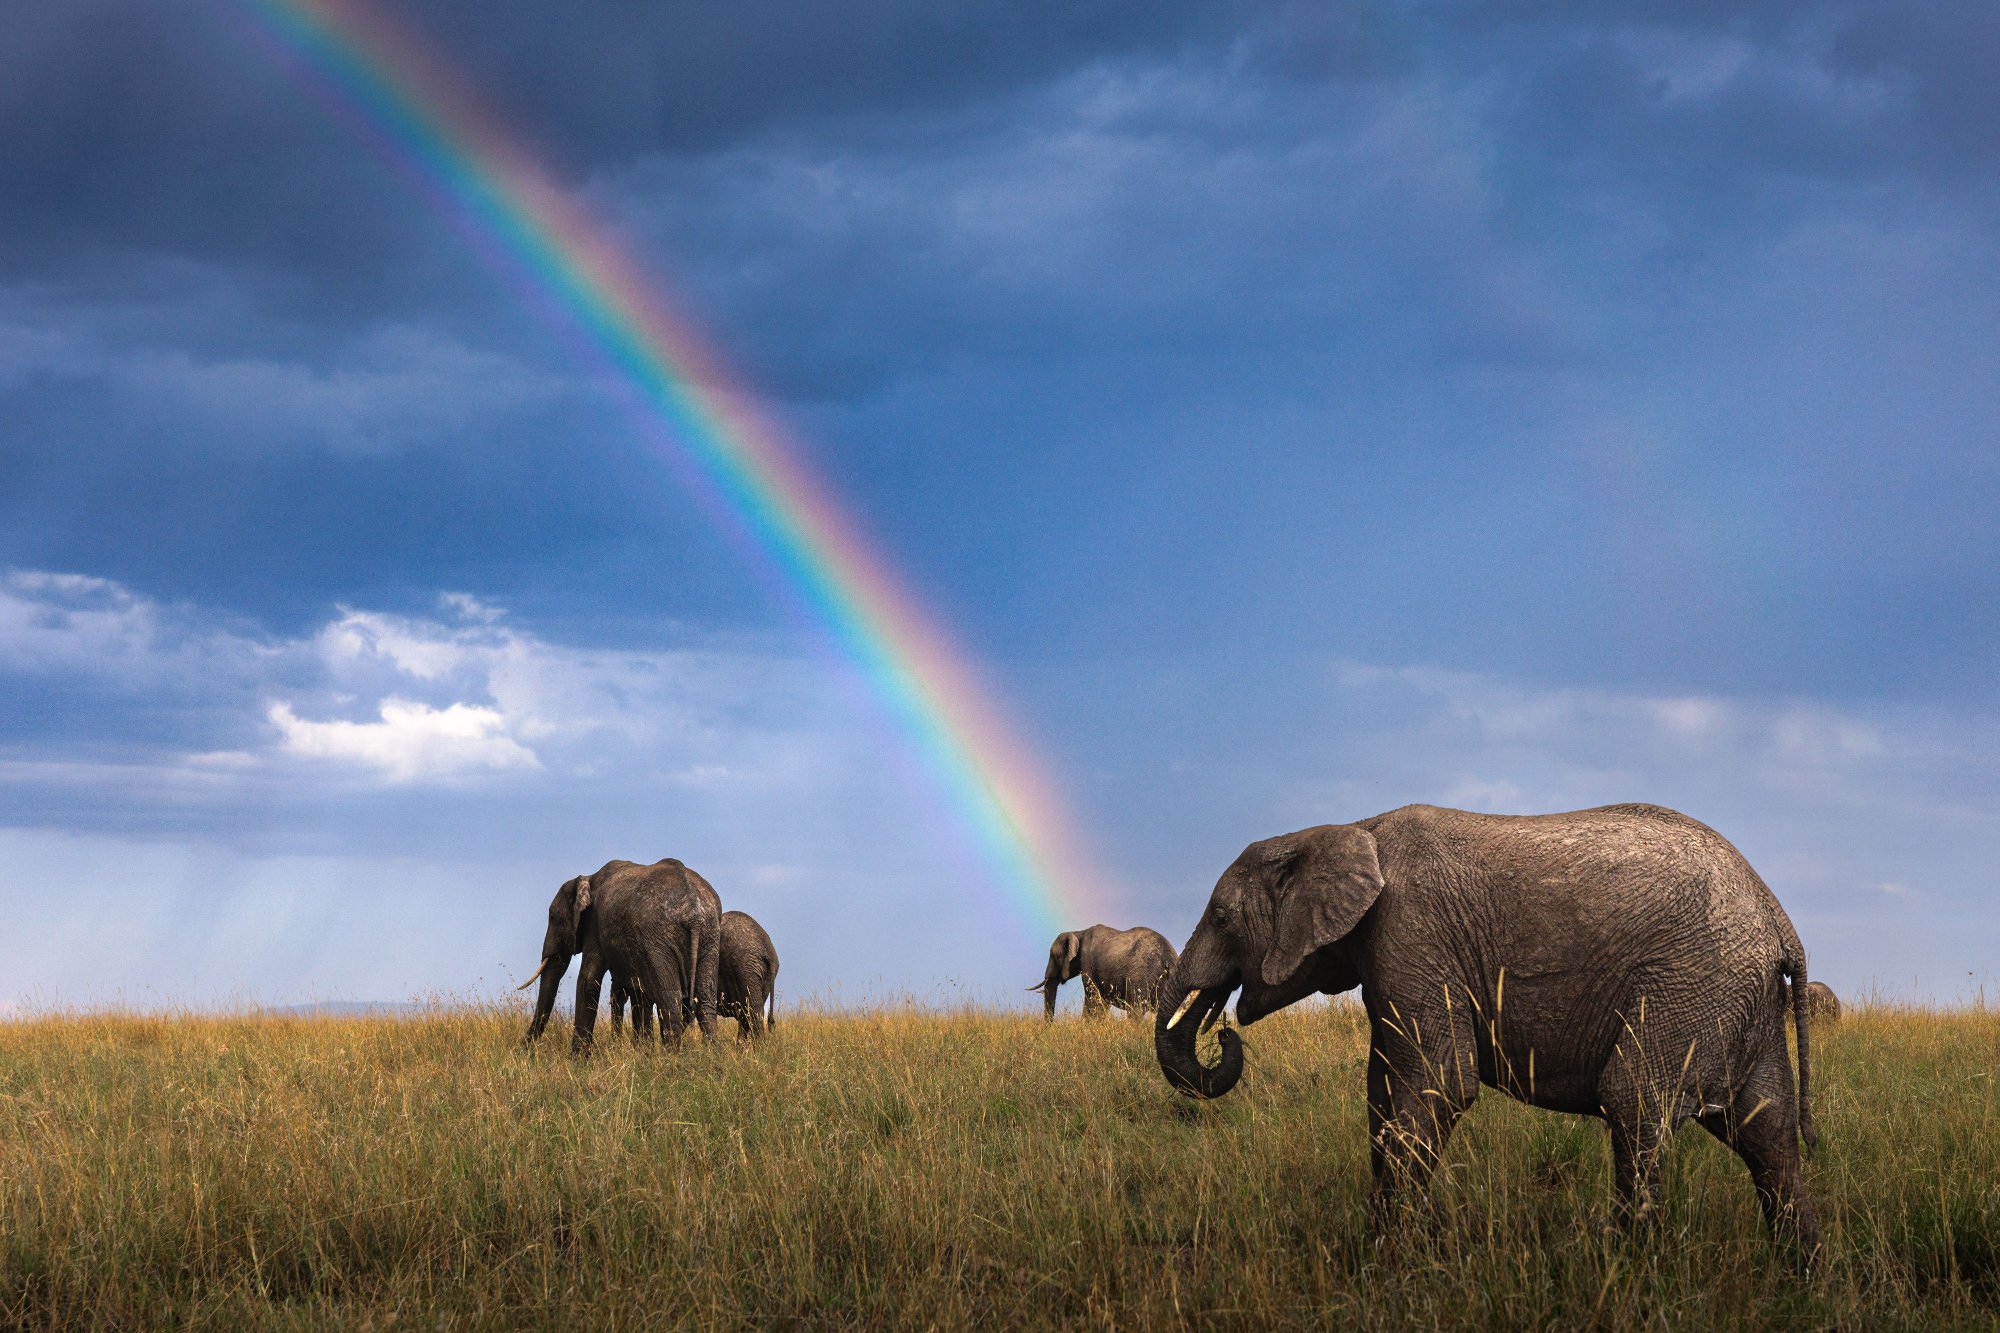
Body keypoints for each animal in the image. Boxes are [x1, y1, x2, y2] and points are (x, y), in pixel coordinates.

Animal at [519, 857, 721, 1054]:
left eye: (554, 918)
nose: (524, 1048)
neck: (589, 878)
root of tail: (693, 914)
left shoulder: (595, 923)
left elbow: (588, 979)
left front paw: (577, 1059)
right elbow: (637, 993)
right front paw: (643, 1054)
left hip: (660, 940)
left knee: (670, 999)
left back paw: (672, 1058)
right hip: (709, 936)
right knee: (704, 1001)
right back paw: (711, 1055)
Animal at [1029, 924, 1176, 1020]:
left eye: (1054, 956)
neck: (1078, 932)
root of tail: (1169, 958)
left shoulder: (1087, 962)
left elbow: (1093, 998)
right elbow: (1102, 1002)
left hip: (1140, 975)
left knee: (1136, 1010)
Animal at [1155, 803, 1821, 1261]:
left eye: (1221, 918)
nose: (1222, 1033)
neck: (1346, 828)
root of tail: (1781, 923)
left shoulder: (1412, 938)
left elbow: (1439, 1087)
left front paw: (1390, 1267)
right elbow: (1383, 1096)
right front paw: (1380, 1252)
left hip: (1692, 986)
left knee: (1634, 1103)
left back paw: (1626, 1270)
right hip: (1738, 1003)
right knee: (1769, 1134)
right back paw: (1801, 1279)